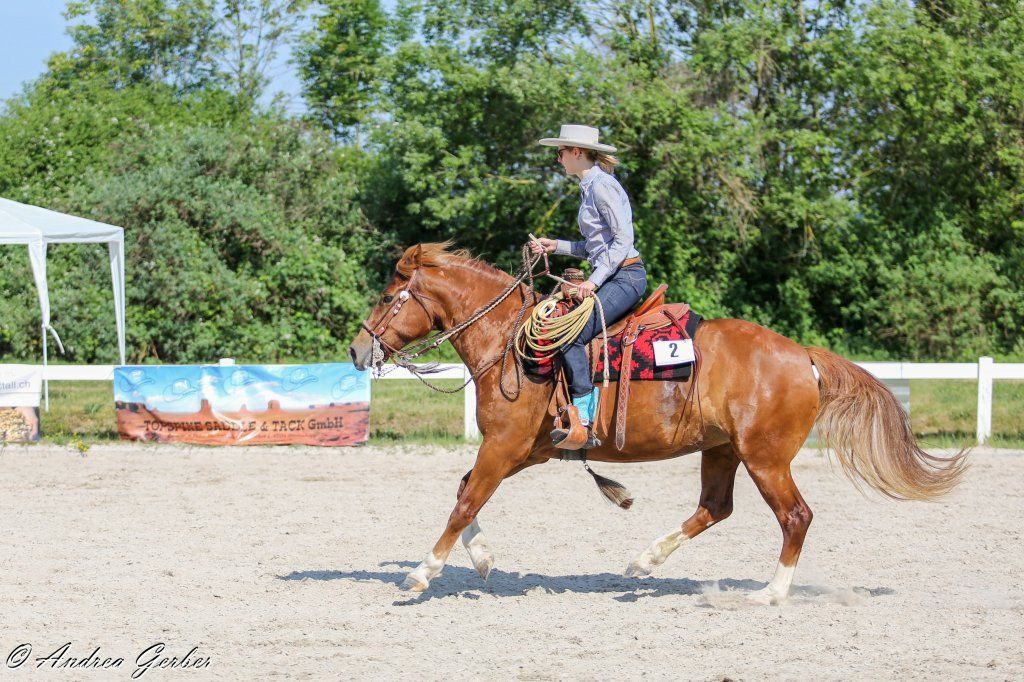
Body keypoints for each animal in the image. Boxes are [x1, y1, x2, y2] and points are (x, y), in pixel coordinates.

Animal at [348, 243, 968, 603]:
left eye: (386, 295)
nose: (357, 350)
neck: (510, 346)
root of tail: (803, 356)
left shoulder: (503, 447)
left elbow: (464, 501)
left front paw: (422, 571)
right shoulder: (525, 450)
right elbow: (466, 494)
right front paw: (480, 560)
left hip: (767, 458)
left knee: (796, 516)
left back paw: (769, 593)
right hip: (722, 450)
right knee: (715, 507)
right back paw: (642, 562)